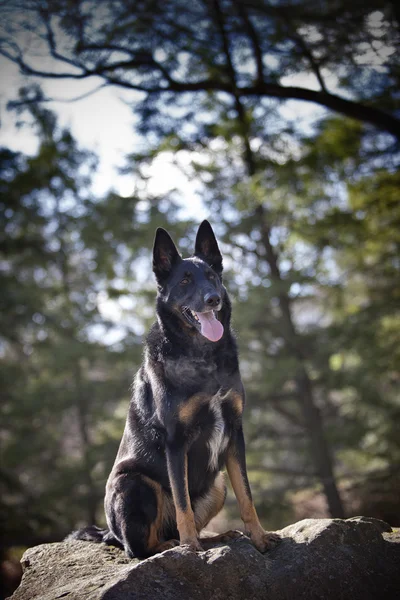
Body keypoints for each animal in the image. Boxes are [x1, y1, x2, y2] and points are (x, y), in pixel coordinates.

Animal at [69, 220, 280, 556]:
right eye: (184, 281)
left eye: (212, 277)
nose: (213, 299)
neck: (202, 355)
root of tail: (108, 533)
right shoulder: (176, 442)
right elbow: (182, 503)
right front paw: (191, 549)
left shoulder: (235, 433)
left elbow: (247, 496)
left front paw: (259, 538)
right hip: (135, 482)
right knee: (139, 547)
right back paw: (175, 546)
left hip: (217, 483)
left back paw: (216, 537)